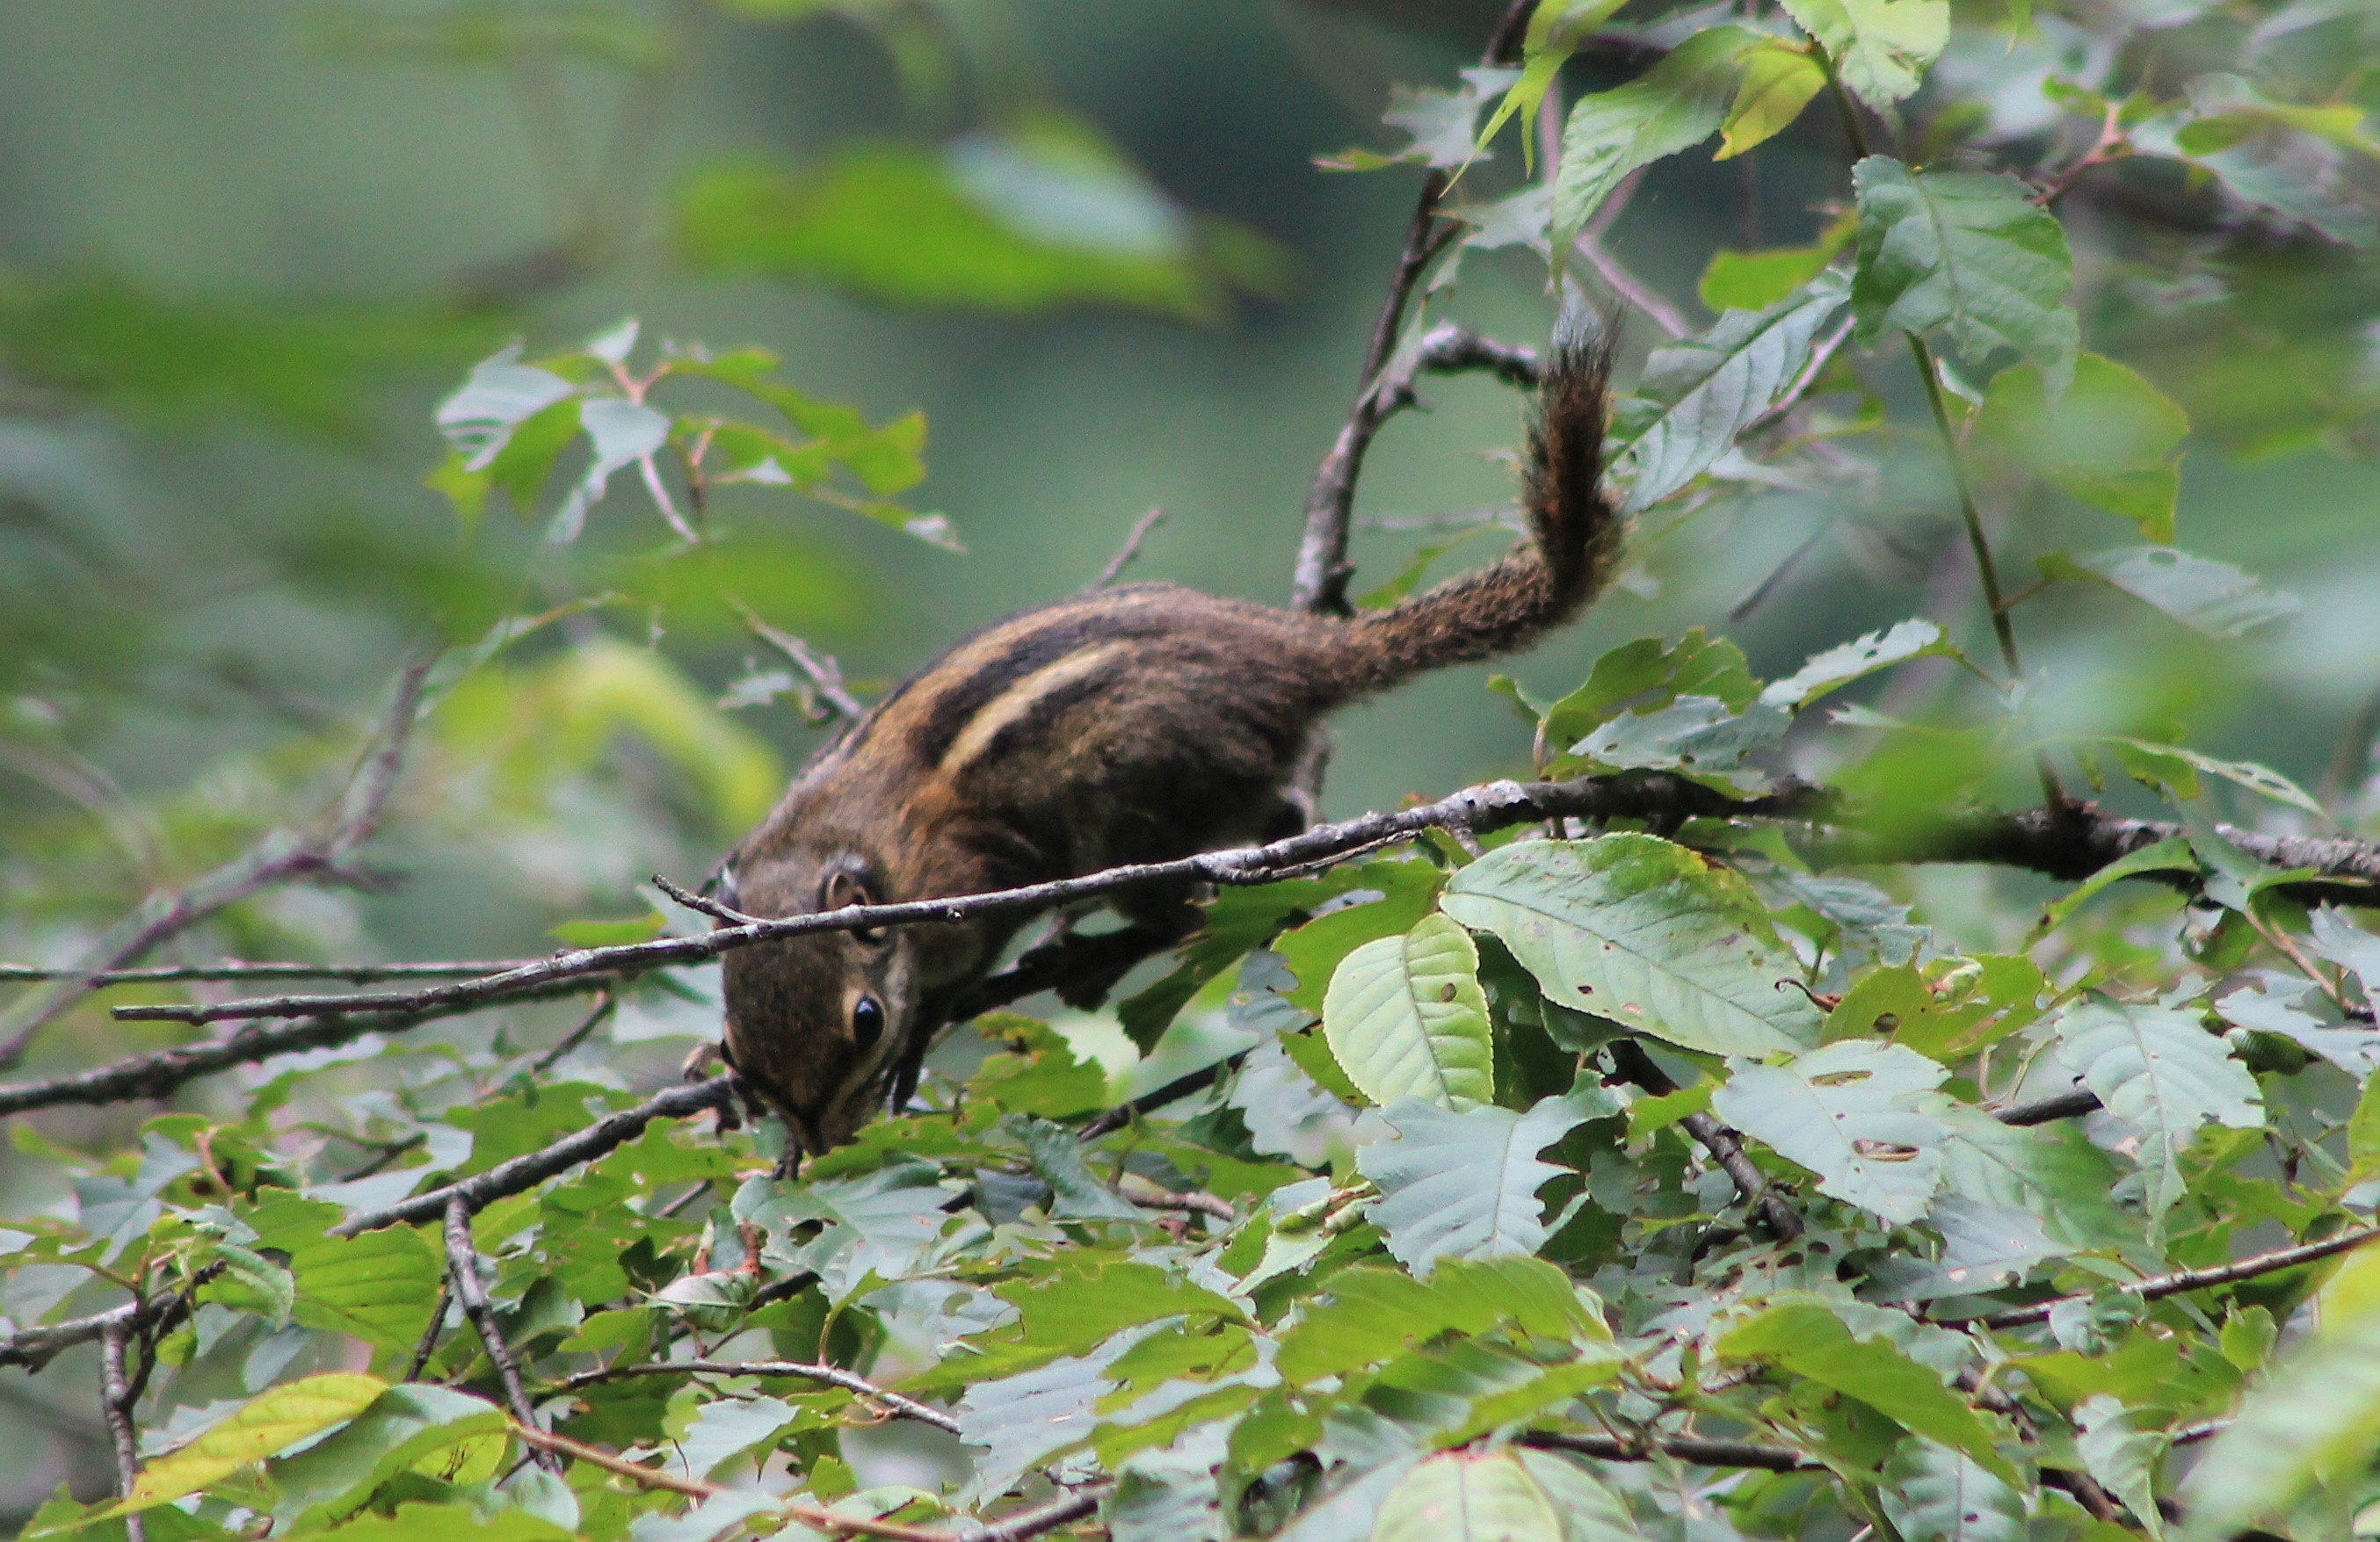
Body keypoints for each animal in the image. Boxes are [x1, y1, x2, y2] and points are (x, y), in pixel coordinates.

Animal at [716, 335, 1619, 1159]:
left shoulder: (969, 881)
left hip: (1137, 807)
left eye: (866, 1023)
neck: (840, 843)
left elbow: (971, 956)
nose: (819, 1145)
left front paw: (931, 1017)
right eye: (734, 1047)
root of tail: (1288, 655)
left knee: (1184, 906)